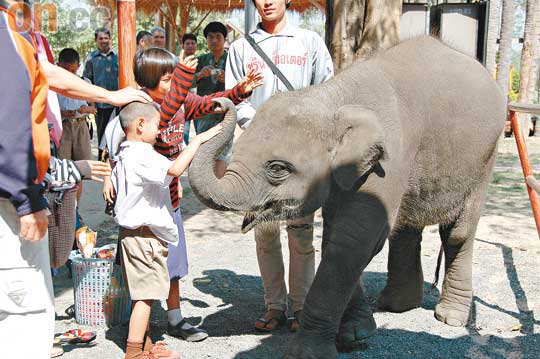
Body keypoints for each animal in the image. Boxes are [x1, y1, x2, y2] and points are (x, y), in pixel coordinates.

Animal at [188, 37, 504, 359]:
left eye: (277, 168)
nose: (219, 101)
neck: (333, 98)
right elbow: (336, 237)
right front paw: (356, 334)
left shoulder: (387, 159)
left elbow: (355, 238)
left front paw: (310, 352)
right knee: (406, 228)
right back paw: (397, 305)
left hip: (485, 158)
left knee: (457, 233)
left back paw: (450, 317)